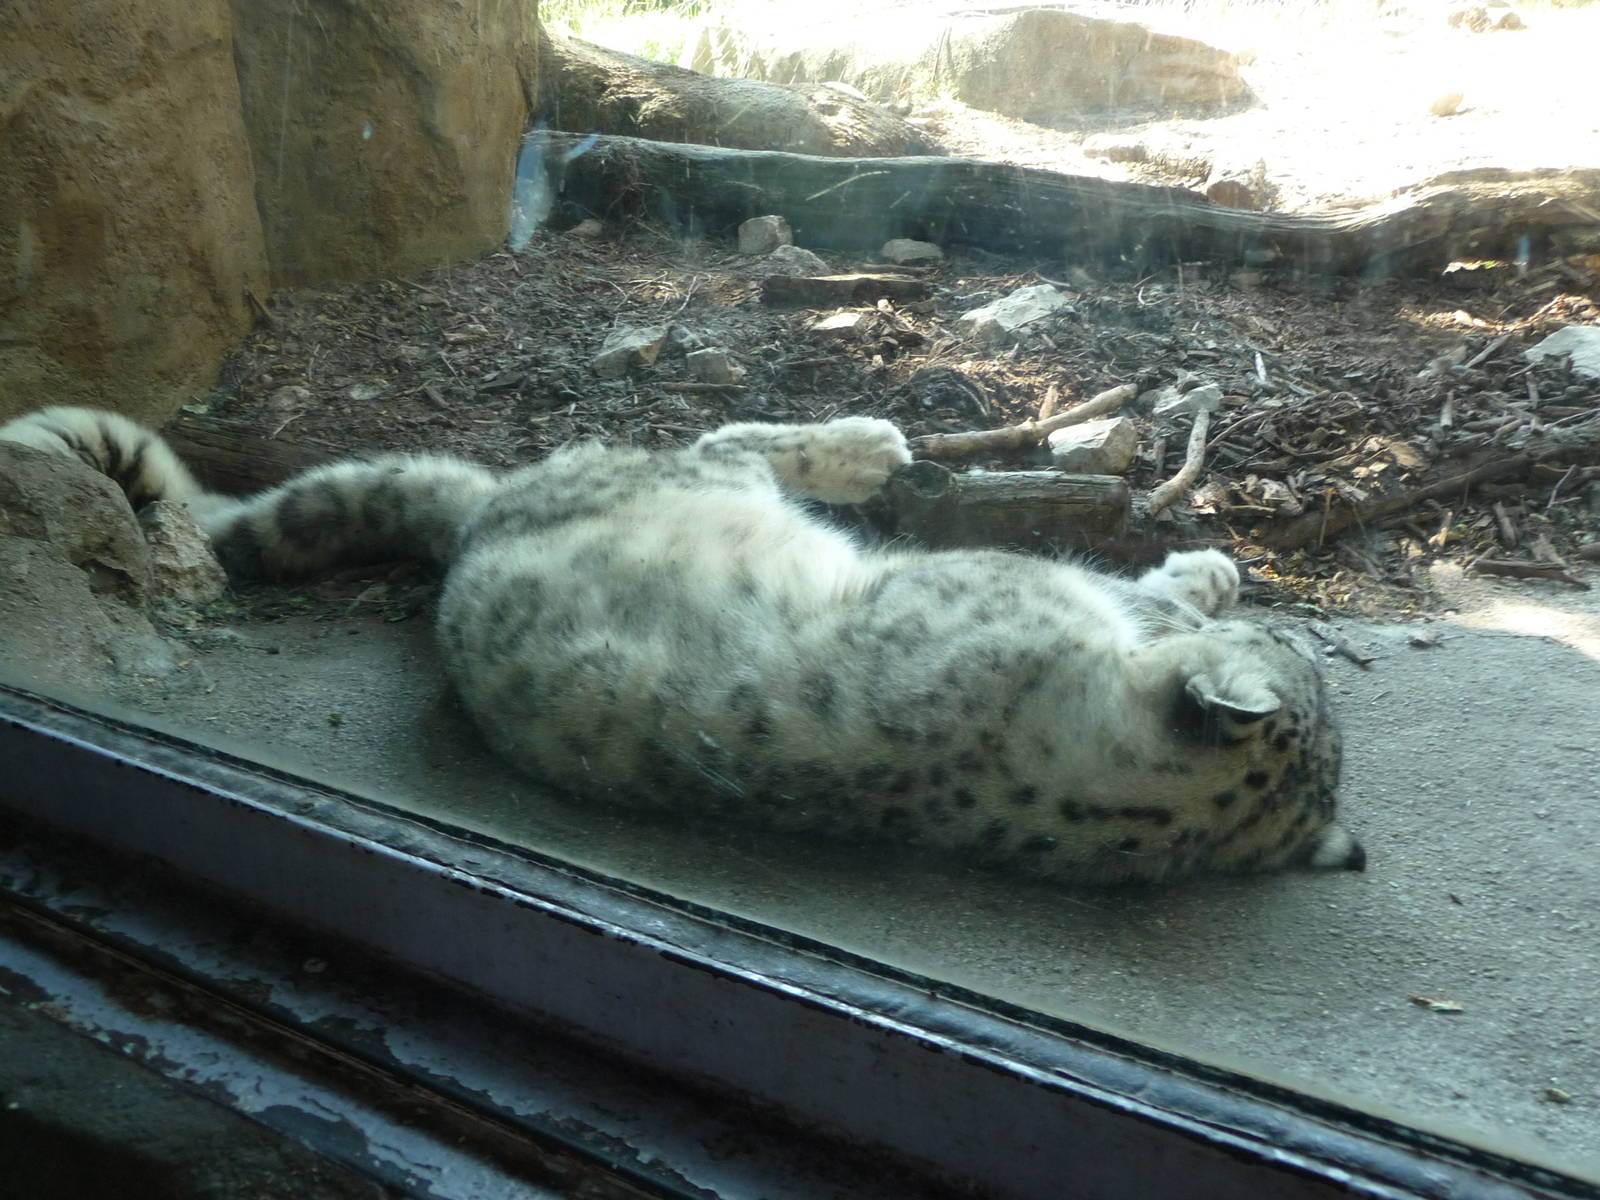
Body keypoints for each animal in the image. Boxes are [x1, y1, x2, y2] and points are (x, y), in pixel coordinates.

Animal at [0, 405, 1364, 884]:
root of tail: (480, 522)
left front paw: (1198, 578)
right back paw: (869, 445)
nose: (1277, 620)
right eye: (1296, 659)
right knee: (738, 439)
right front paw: (1203, 573)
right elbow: (1133, 591)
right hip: (695, 470)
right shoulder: (1010, 590)